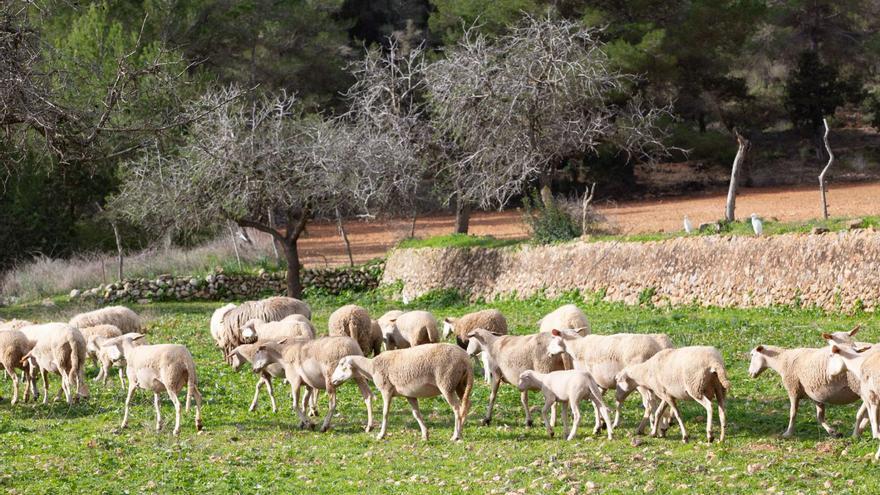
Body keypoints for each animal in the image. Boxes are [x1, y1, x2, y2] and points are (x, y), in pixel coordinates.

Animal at [330, 344, 474, 442]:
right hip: (460, 385)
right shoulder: (409, 394)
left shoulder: (386, 389)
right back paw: (461, 430)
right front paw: (425, 434)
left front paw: (381, 434)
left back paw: (455, 435)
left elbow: (385, 413)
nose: (331, 380)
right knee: (466, 406)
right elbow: (416, 414)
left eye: (341, 365)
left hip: (446, 383)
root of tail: (466, 359)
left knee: (457, 408)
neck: (371, 367)